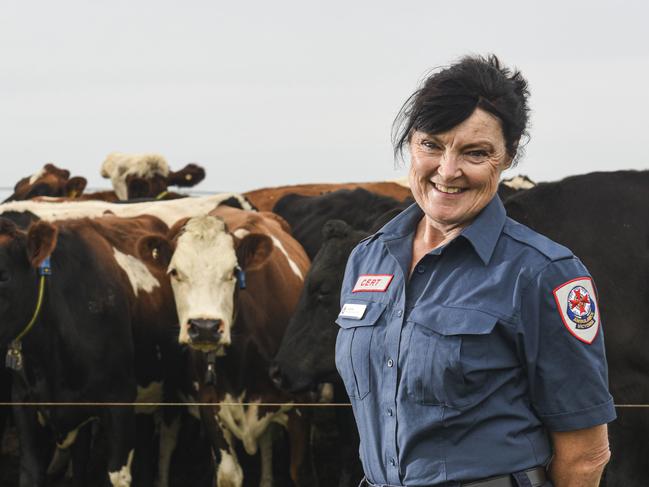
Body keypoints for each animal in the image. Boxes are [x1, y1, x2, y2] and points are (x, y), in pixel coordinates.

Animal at [0, 214, 187, 487]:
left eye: (3, 276)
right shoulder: (23, 400)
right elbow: (33, 470)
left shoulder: (119, 399)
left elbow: (117, 474)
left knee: (167, 440)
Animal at [138, 208, 316, 487]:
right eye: (174, 272)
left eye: (233, 271)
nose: (205, 327)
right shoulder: (210, 405)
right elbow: (229, 474)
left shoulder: (302, 407)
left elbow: (300, 471)